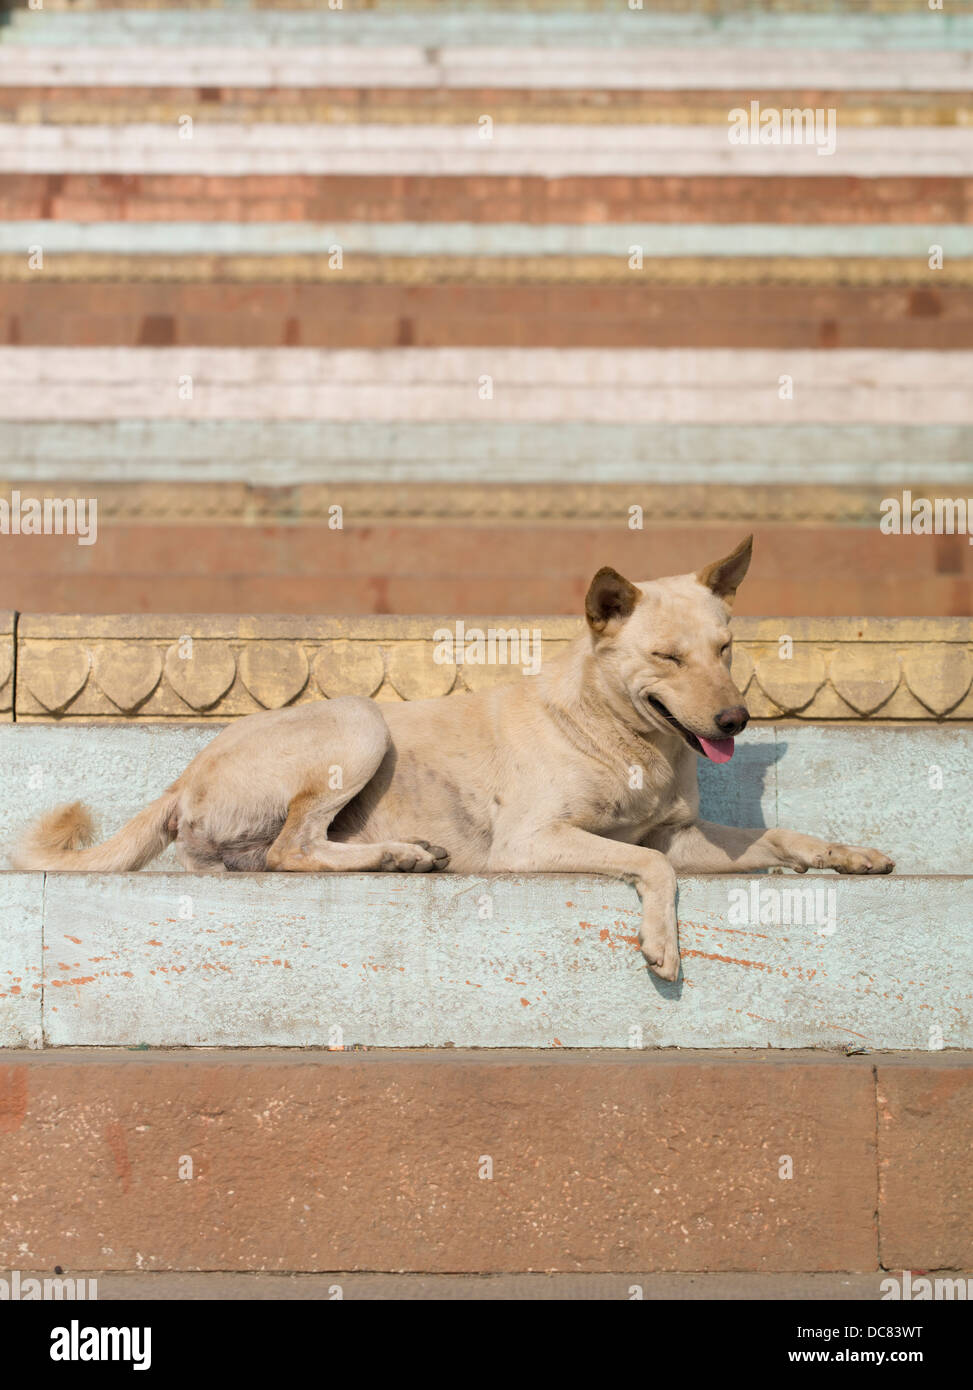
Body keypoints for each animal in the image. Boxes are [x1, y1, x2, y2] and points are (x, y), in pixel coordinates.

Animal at [13, 536, 895, 984]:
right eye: (666, 658)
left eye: (724, 649)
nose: (735, 719)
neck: (622, 737)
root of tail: (182, 777)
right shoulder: (534, 843)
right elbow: (650, 870)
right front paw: (662, 945)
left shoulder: (676, 832)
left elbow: (778, 837)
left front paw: (846, 854)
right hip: (359, 720)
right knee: (294, 848)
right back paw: (399, 854)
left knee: (270, 857)